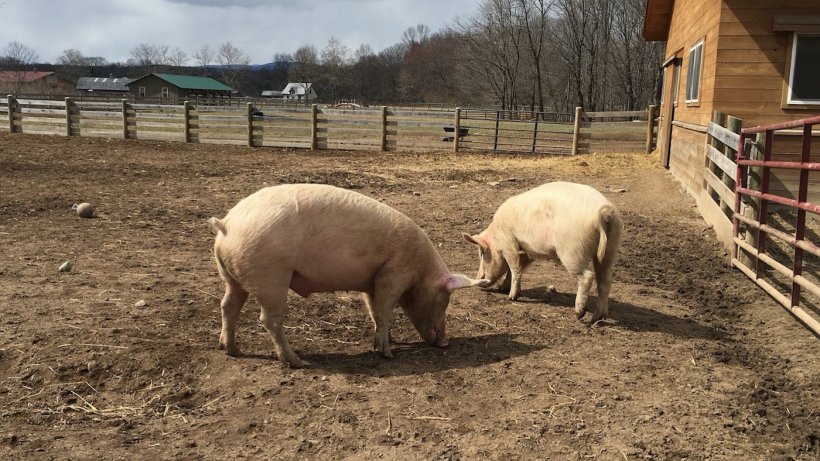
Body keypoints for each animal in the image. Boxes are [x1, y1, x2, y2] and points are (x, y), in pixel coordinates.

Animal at [208, 183, 486, 366]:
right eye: (444, 300)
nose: (446, 343)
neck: (420, 270)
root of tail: (227, 224)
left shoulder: (372, 282)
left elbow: (374, 311)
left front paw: (389, 340)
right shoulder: (393, 273)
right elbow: (384, 310)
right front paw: (388, 353)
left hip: (232, 277)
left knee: (228, 305)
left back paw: (231, 350)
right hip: (271, 277)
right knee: (268, 319)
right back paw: (297, 361)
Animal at [462, 181, 620, 322]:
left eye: (482, 253)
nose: (478, 279)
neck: (496, 232)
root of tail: (603, 212)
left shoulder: (509, 244)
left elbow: (514, 268)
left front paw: (511, 297)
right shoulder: (526, 249)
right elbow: (518, 268)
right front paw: (502, 288)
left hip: (572, 251)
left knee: (587, 276)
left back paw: (579, 314)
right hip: (610, 249)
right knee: (605, 280)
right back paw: (598, 318)